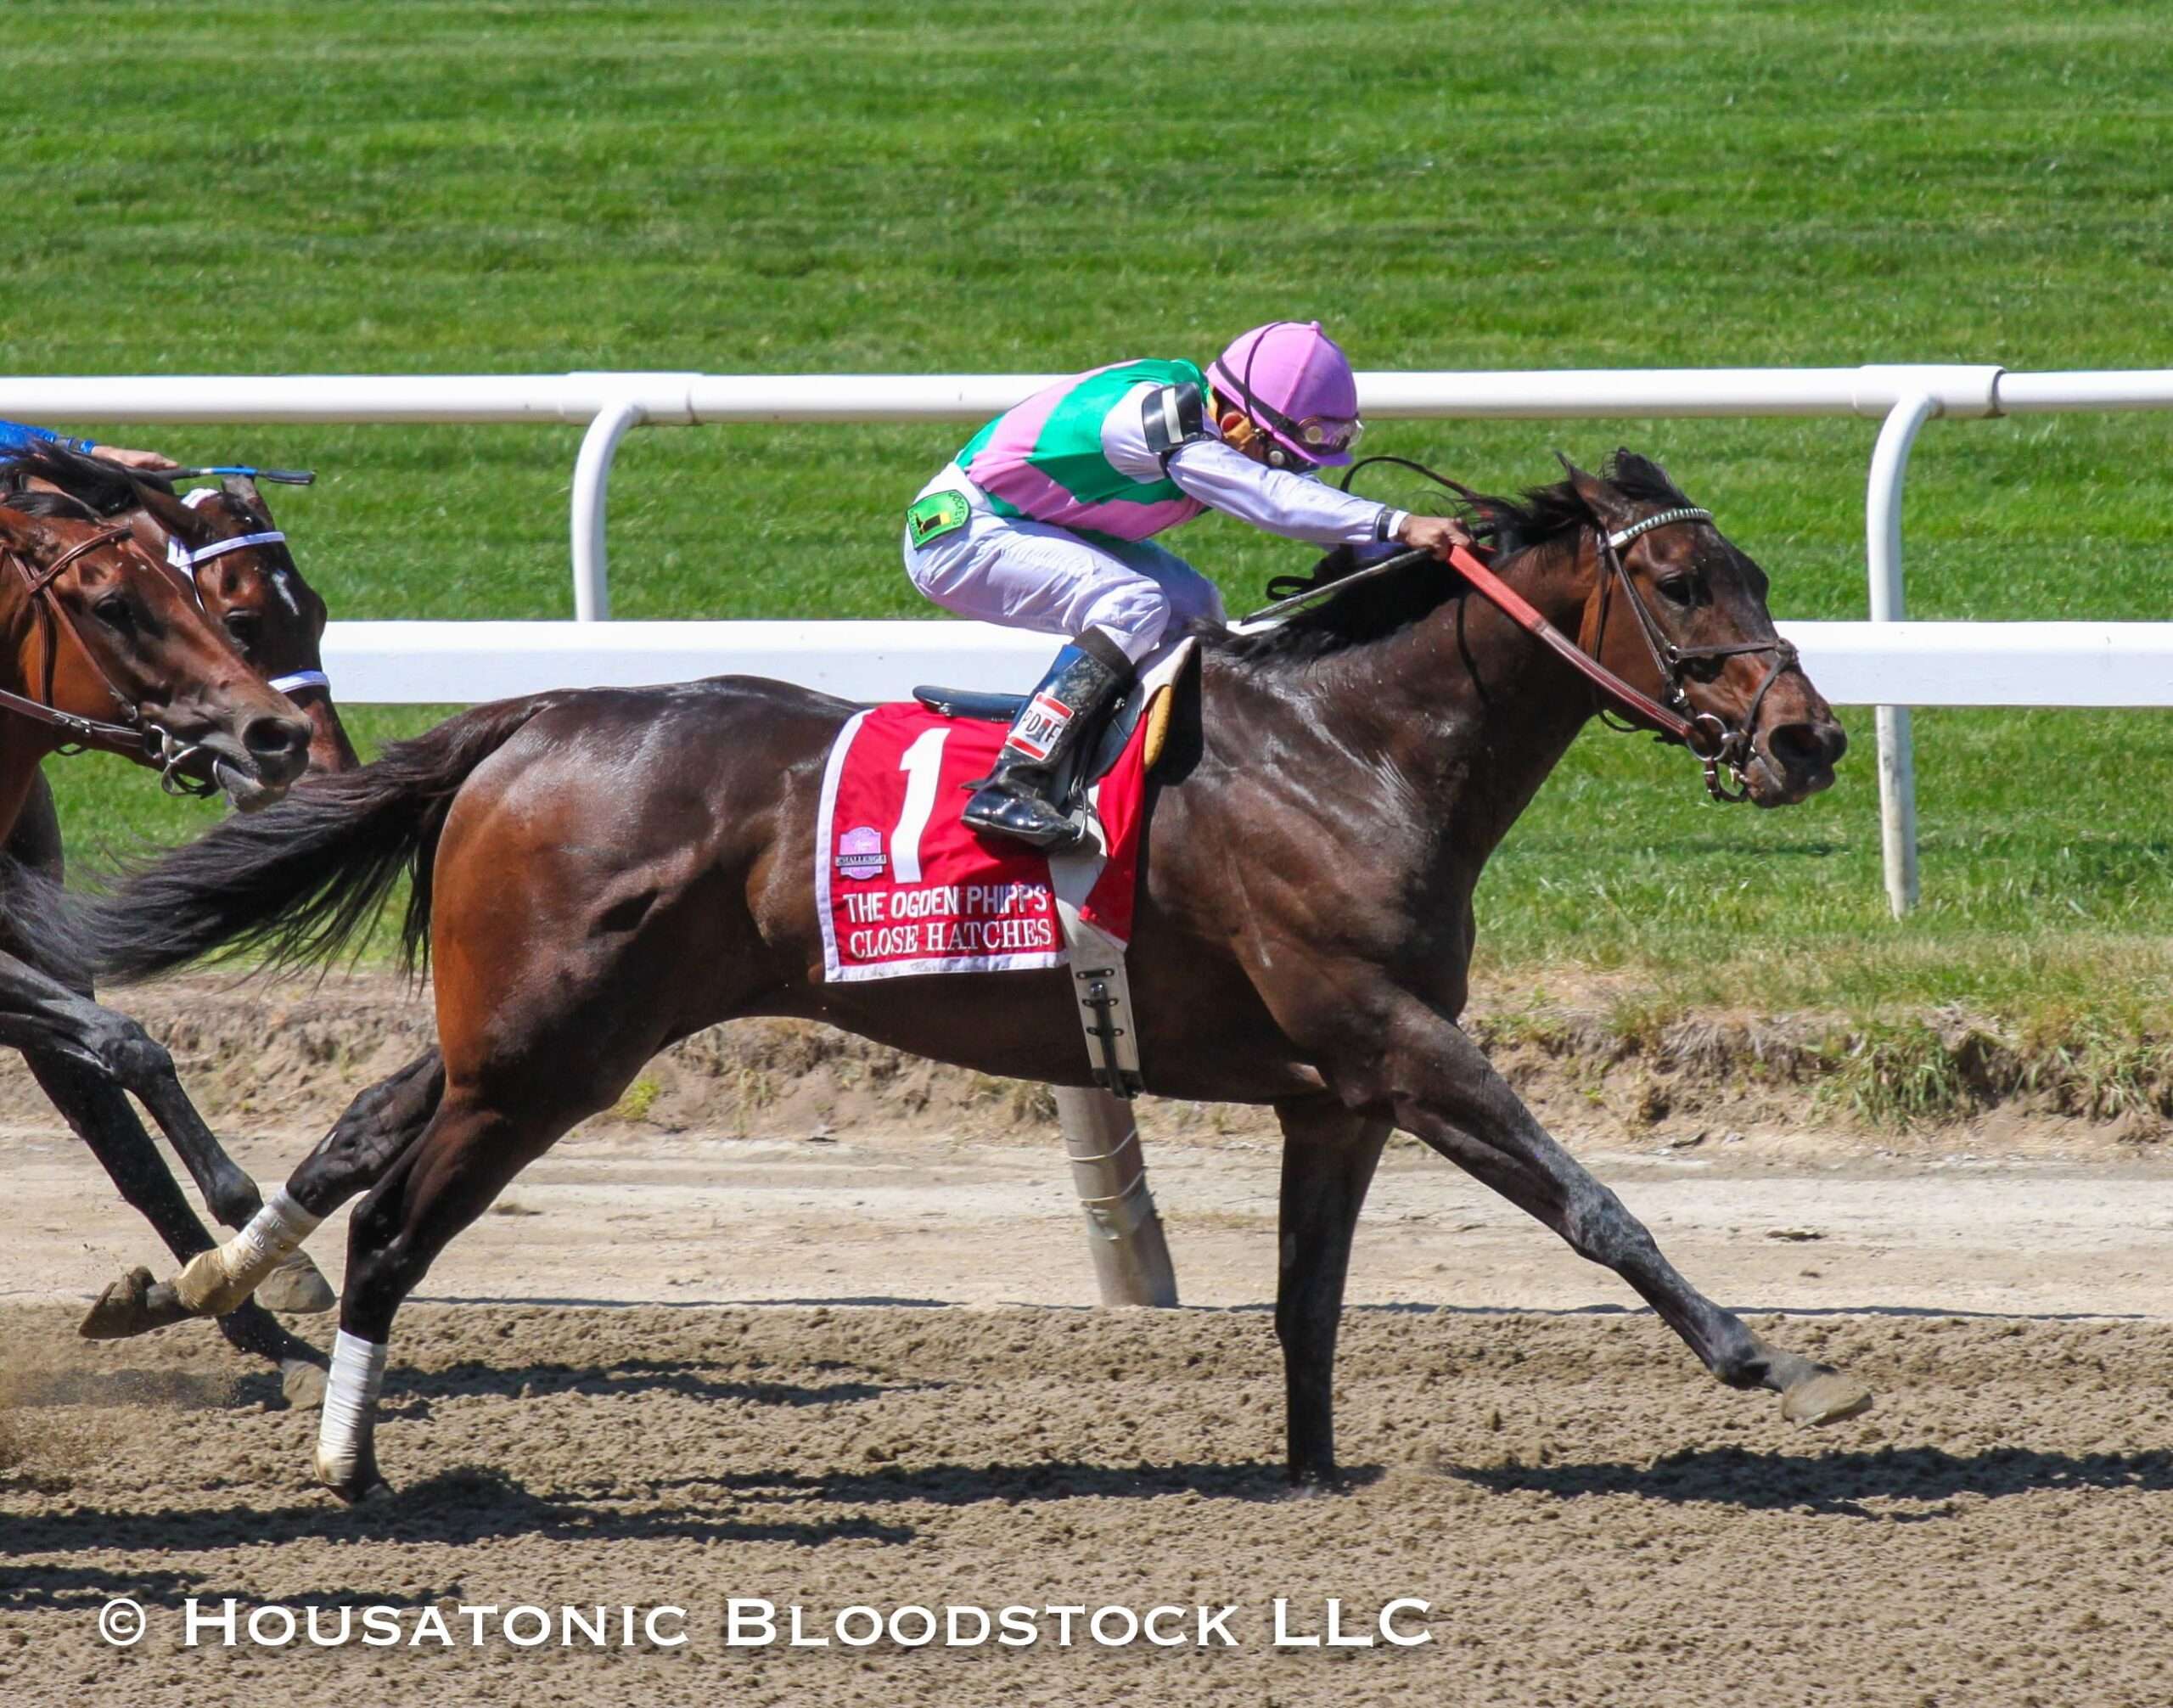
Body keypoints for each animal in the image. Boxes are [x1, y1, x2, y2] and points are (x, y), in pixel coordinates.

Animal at [0, 490, 334, 1401]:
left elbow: (129, 1136)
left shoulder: (44, 965)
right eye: (115, 605)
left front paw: (268, 1323)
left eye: (191, 597)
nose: (284, 739)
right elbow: (130, 1045)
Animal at [75, 452, 1866, 1502]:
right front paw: (1772, 1362)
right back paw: (346, 1458)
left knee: (348, 1145)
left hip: (514, 1029)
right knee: (394, 1223)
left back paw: (183, 1289)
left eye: (1763, 574)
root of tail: (537, 712)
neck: (1349, 747)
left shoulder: (1339, 1090)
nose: (1808, 739)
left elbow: (1309, 1297)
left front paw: (1311, 1471)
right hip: (549, 1057)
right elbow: (1591, 1200)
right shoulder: (1393, 1035)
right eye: (1686, 583)